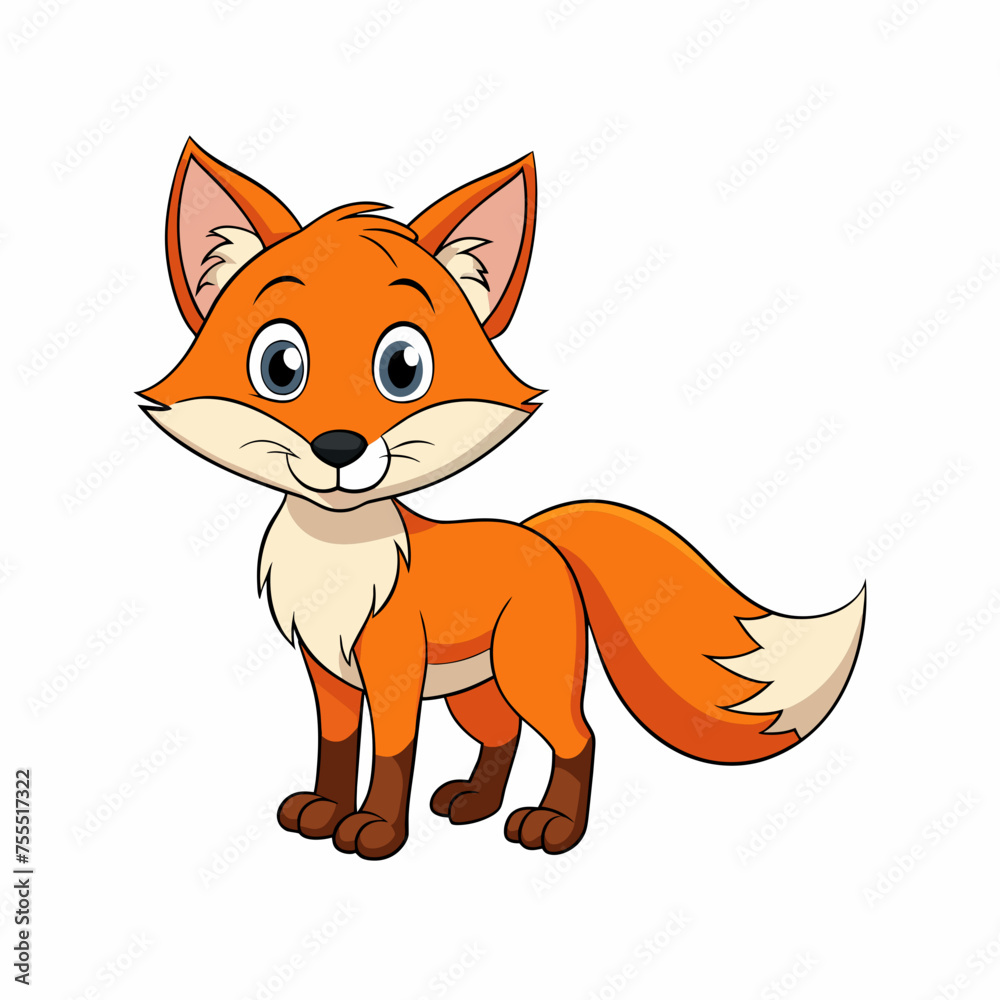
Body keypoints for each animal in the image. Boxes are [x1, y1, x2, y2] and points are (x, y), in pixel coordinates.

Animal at [141, 139, 866, 860]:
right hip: (477, 688)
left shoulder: (394, 670)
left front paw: (377, 831)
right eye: (281, 367)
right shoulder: (330, 674)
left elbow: (393, 754)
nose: (339, 447)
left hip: (528, 673)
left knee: (577, 736)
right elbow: (337, 748)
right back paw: (474, 803)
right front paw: (322, 811)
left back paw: (554, 827)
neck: (337, 560)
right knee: (503, 735)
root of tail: (541, 535)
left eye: (403, 368)